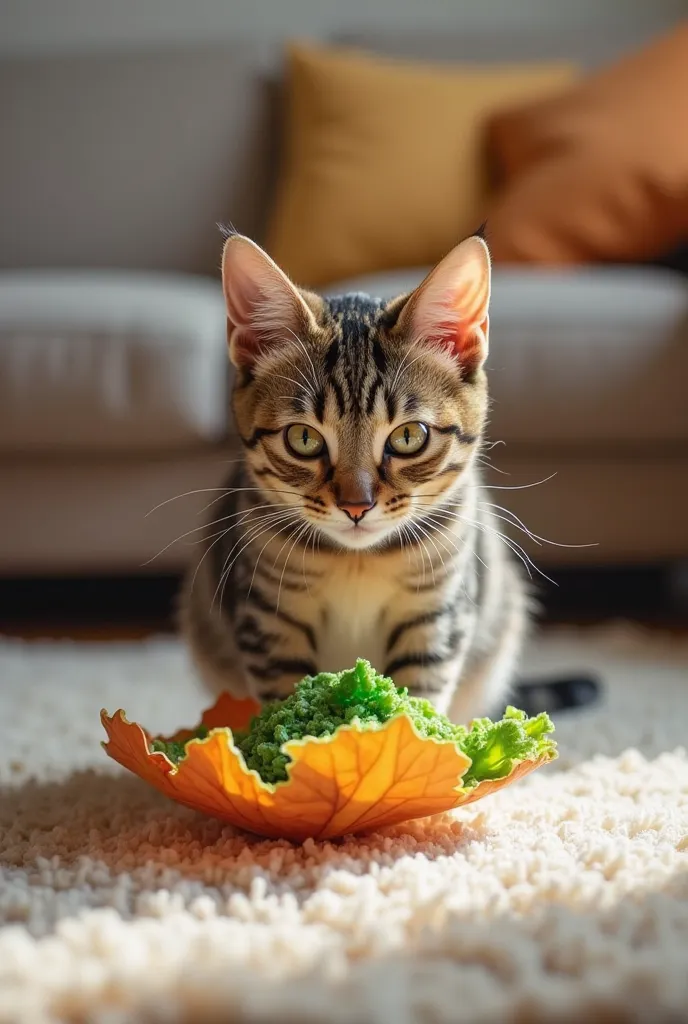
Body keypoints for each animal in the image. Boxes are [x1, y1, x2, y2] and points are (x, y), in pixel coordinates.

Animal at [181, 232, 528, 720]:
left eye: (408, 437)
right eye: (304, 438)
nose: (356, 505)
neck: (357, 562)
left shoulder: (436, 617)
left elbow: (416, 705)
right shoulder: (268, 620)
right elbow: (289, 700)